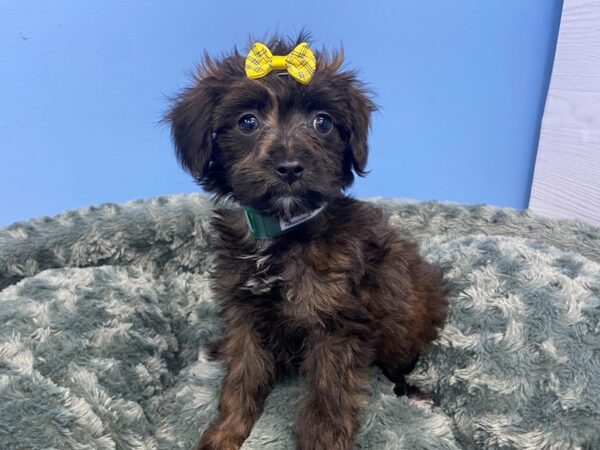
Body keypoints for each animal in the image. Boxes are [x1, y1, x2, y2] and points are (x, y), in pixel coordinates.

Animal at [166, 34, 448, 450]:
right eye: (247, 122)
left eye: (323, 122)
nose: (290, 168)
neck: (282, 231)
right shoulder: (244, 313)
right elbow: (242, 378)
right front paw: (225, 433)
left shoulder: (336, 323)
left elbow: (326, 402)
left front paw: (321, 442)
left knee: (399, 367)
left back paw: (415, 394)